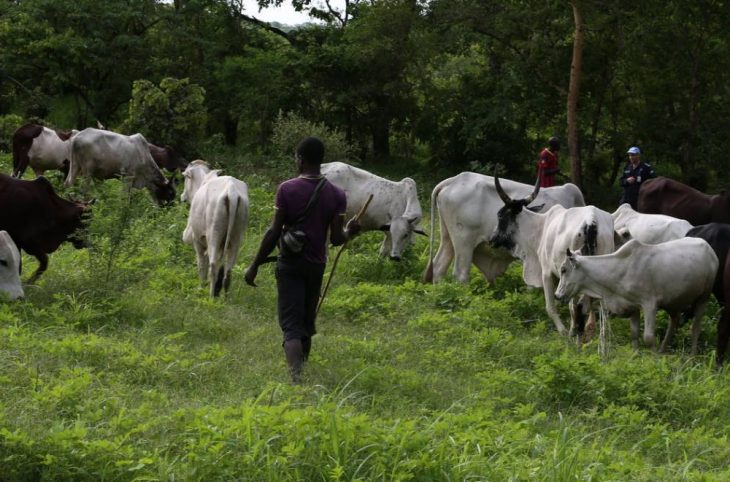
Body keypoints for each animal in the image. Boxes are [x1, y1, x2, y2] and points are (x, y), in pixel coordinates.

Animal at [181, 161, 249, 298]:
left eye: (185, 177)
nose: (182, 197)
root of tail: (232, 191)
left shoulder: (197, 239)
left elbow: (202, 264)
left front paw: (201, 287)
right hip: (236, 237)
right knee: (228, 270)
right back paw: (226, 297)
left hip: (214, 234)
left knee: (212, 266)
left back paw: (211, 297)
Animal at [486, 175, 612, 338]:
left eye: (500, 215)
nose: (492, 239)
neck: (541, 227)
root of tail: (591, 221)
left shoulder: (547, 273)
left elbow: (550, 307)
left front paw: (564, 332)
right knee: (602, 306)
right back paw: (600, 334)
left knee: (576, 306)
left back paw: (575, 332)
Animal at [556, 238, 712, 354]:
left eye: (563, 269)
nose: (557, 295)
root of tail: (708, 246)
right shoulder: (633, 306)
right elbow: (634, 334)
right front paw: (636, 357)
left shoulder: (650, 305)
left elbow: (648, 337)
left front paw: (655, 360)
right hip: (674, 303)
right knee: (673, 323)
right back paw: (663, 350)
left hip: (703, 297)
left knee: (695, 328)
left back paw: (691, 356)